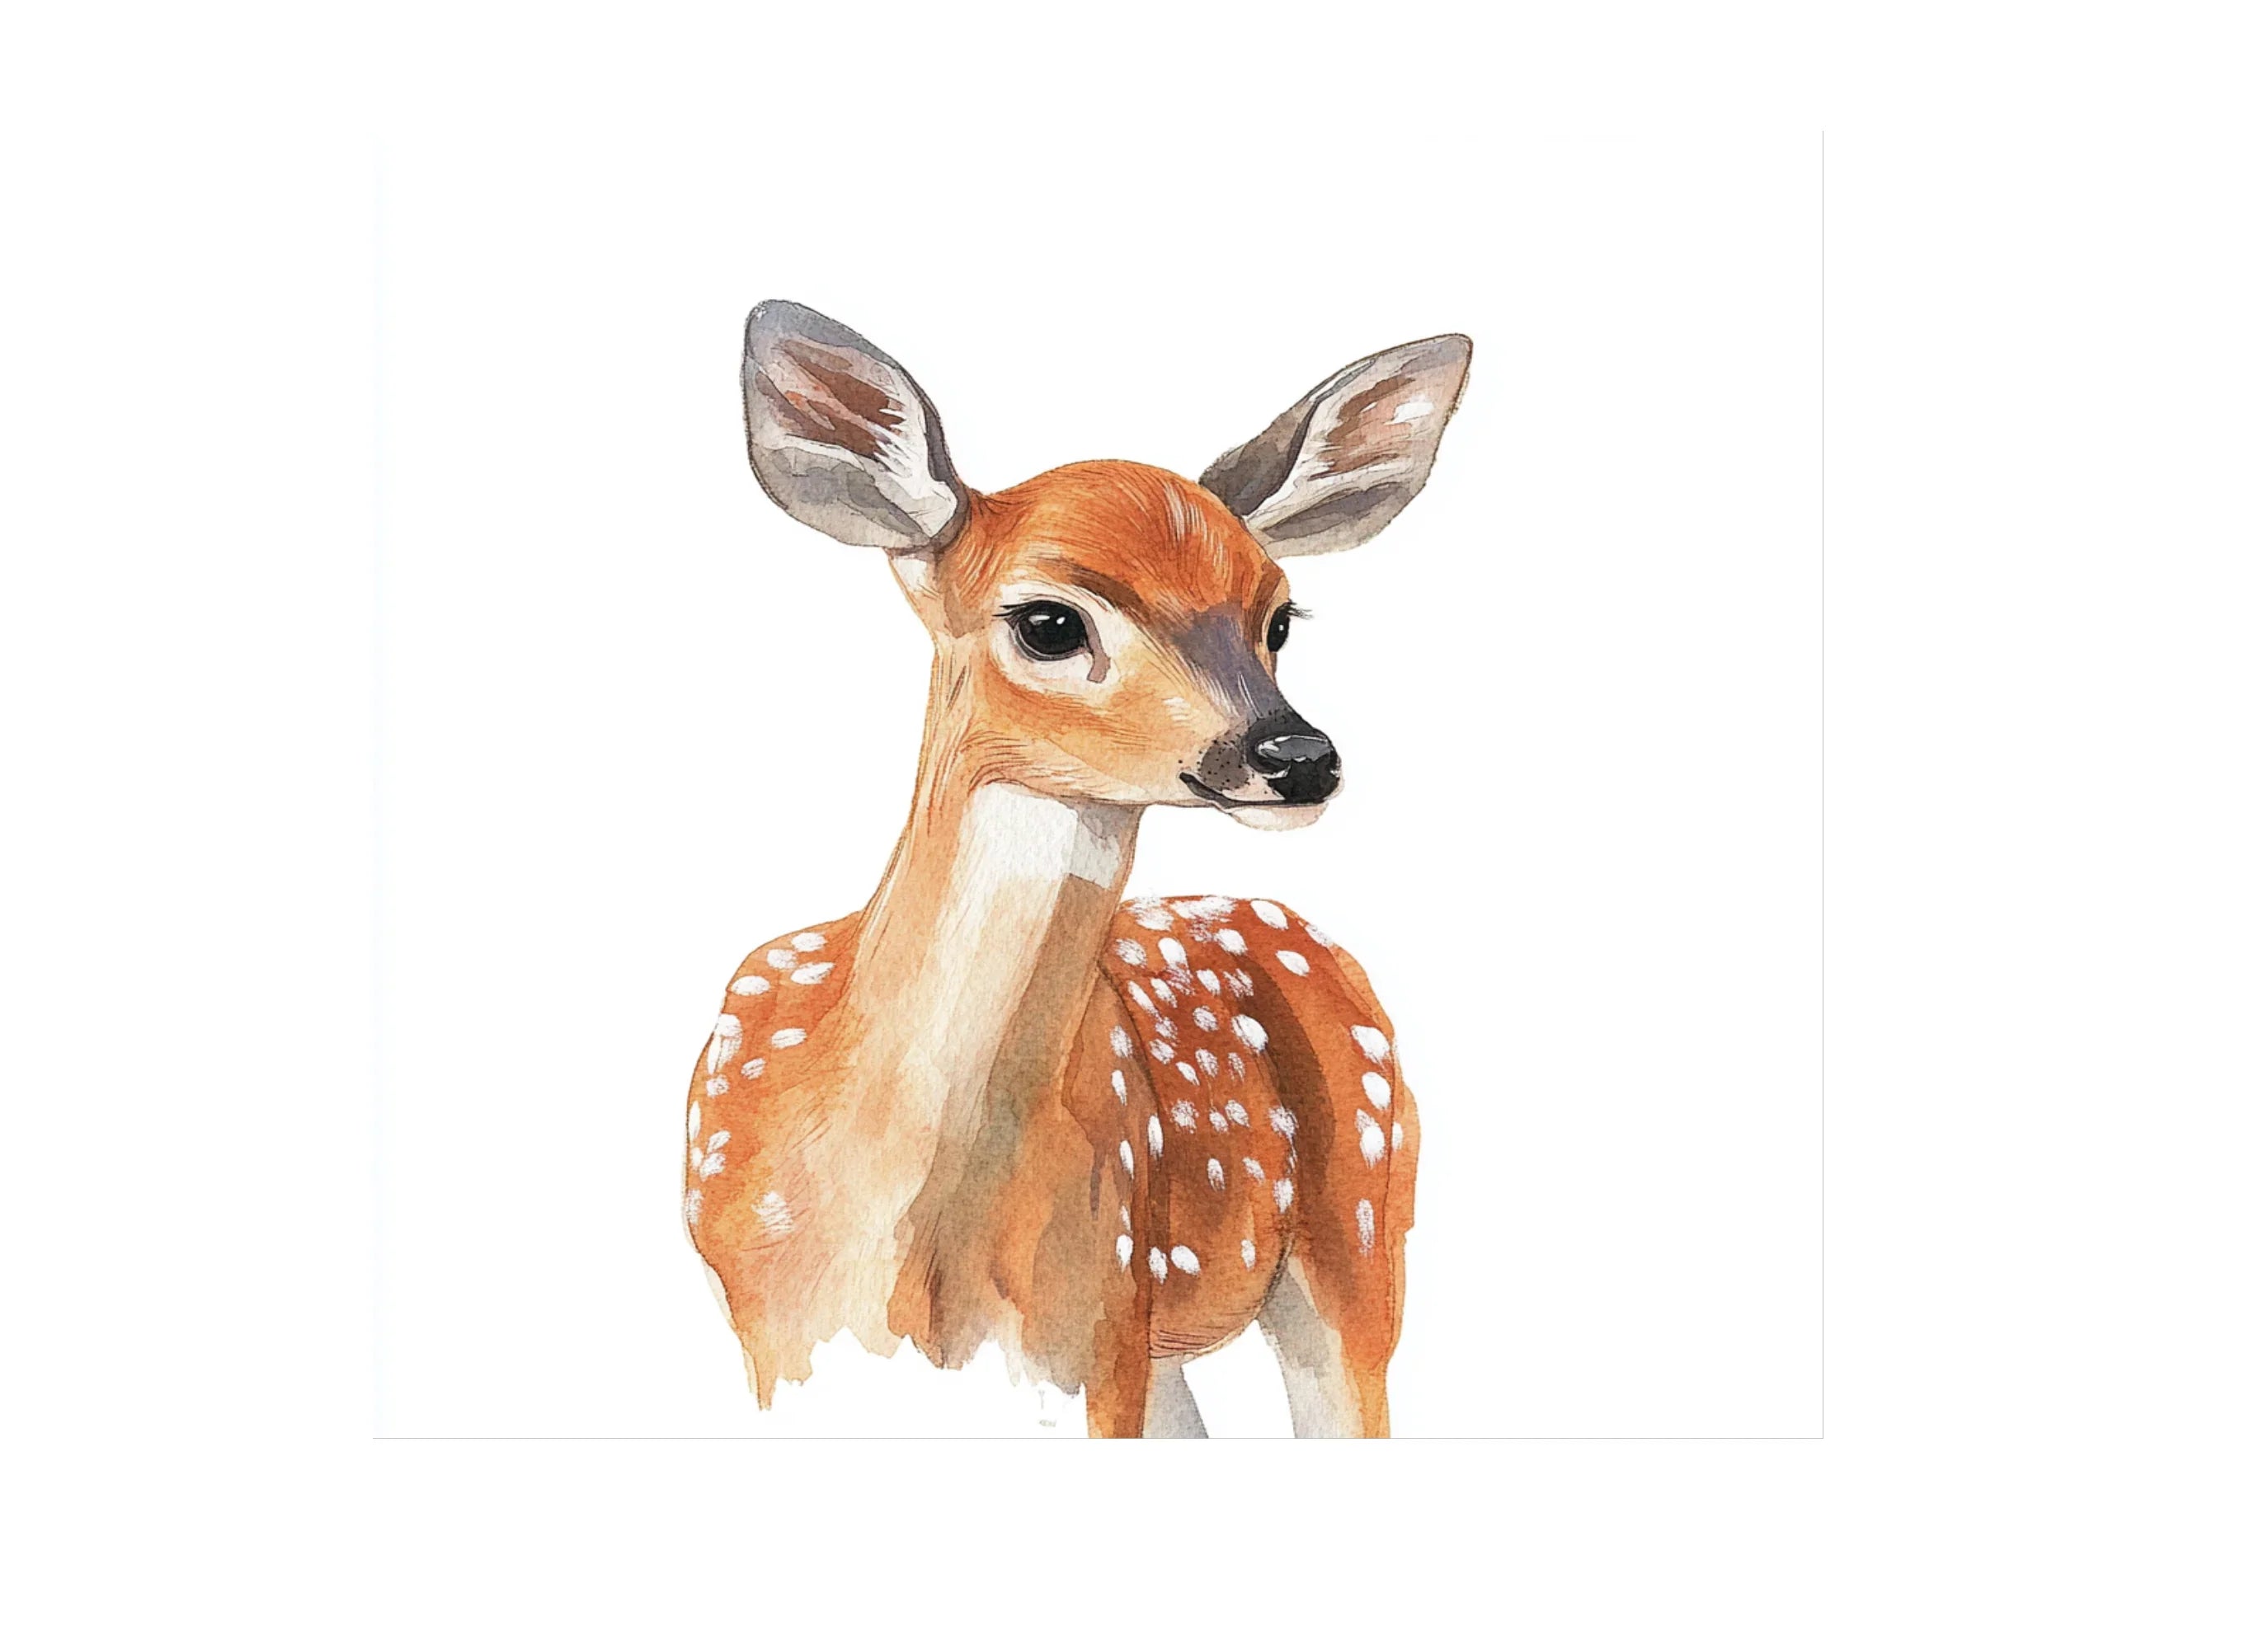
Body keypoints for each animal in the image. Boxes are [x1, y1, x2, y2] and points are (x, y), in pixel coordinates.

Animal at [685, 300, 1469, 1436]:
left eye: (1278, 618)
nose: (1298, 756)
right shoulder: (767, 1339)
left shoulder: (1095, 1327)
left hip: (1358, 1232)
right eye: (1049, 621)